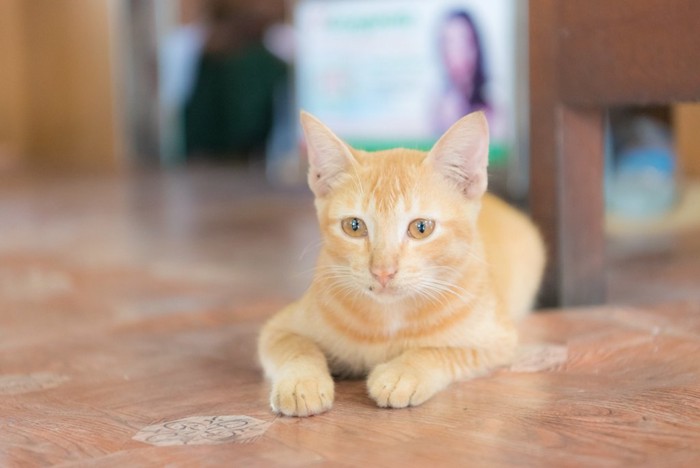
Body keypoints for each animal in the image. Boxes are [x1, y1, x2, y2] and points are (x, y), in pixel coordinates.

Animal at [258, 110, 548, 416]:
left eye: (421, 228)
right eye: (354, 226)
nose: (383, 271)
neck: (390, 317)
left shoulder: (498, 342)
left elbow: (442, 351)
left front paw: (404, 372)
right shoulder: (276, 328)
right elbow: (295, 345)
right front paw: (301, 383)